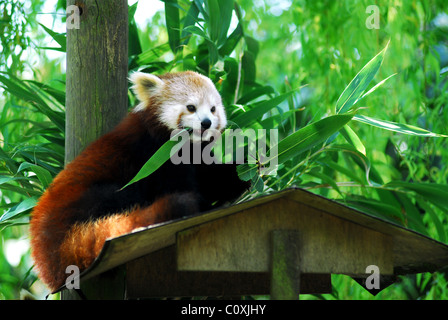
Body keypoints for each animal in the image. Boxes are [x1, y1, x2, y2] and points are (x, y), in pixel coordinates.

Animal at [29, 72, 250, 292]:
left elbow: (216, 179)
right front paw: (202, 204)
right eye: (191, 107)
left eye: (213, 109)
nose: (206, 123)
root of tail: (45, 249)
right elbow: (178, 187)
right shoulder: (154, 154)